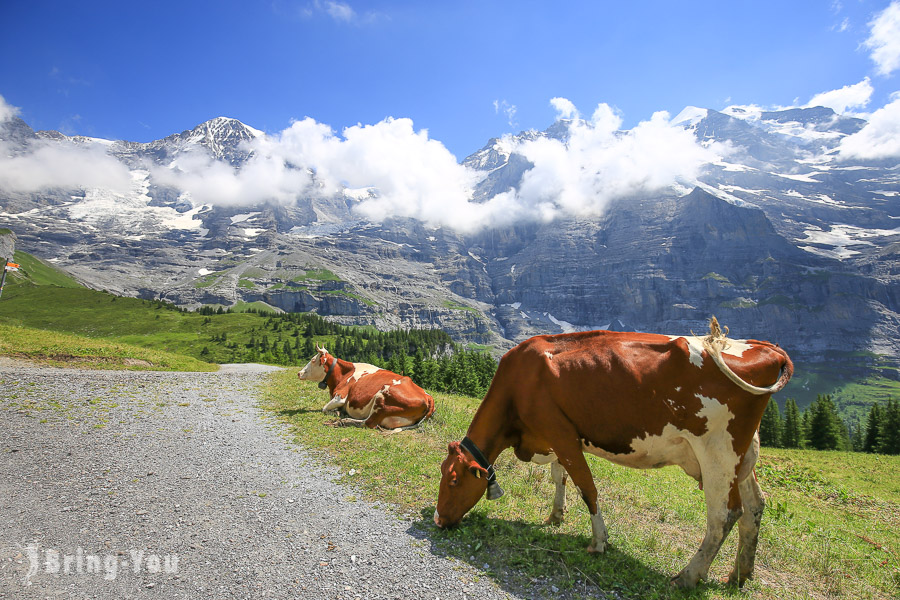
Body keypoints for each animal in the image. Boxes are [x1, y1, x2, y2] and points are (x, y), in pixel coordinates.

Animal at [298, 346, 436, 432]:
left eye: (313, 360)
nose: (299, 373)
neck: (344, 374)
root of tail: (428, 397)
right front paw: (338, 411)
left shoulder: (340, 397)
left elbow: (324, 408)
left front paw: (337, 413)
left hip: (381, 399)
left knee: (368, 423)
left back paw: (342, 421)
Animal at [436, 322, 796, 588]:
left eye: (453, 480)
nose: (439, 520)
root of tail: (766, 347)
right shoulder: (556, 437)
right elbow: (559, 476)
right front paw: (555, 516)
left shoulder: (561, 433)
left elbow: (587, 489)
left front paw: (598, 542)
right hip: (743, 456)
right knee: (754, 507)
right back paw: (739, 575)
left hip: (718, 450)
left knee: (724, 514)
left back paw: (688, 577)